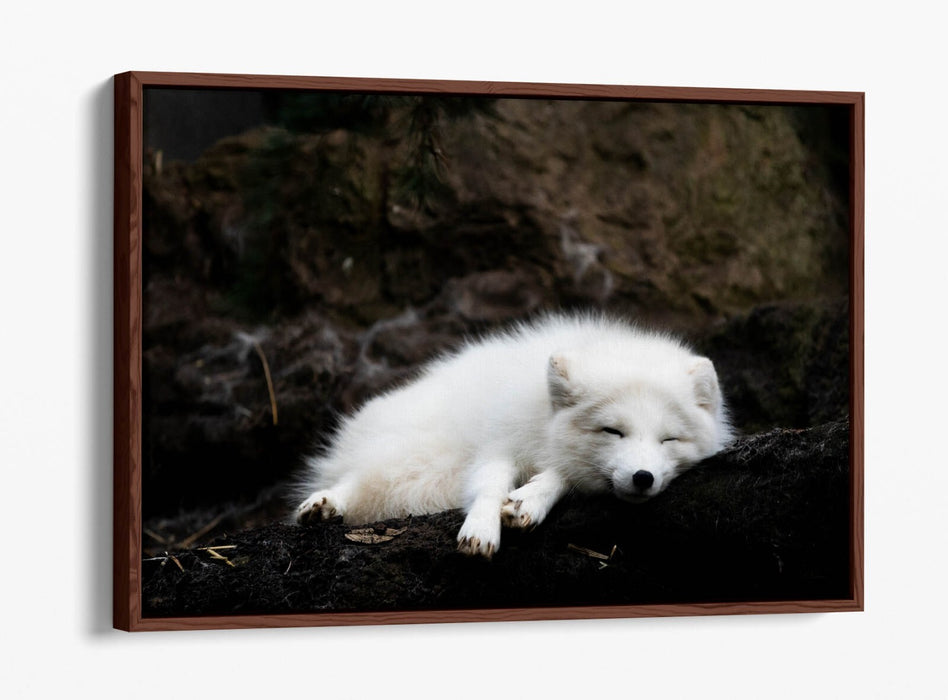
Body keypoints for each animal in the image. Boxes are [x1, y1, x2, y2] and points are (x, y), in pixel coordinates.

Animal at [294, 314, 733, 558]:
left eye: (669, 440)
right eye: (613, 430)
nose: (643, 478)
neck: (541, 417)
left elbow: (561, 476)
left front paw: (529, 500)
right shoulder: (498, 442)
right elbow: (489, 484)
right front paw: (482, 528)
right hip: (415, 456)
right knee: (360, 478)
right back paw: (324, 504)